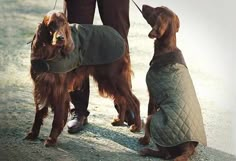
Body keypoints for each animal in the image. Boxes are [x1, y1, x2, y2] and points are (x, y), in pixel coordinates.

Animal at [24, 9, 141, 146]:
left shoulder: (59, 90)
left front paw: (51, 139)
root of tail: (119, 36)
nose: (61, 38)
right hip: (107, 80)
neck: (49, 54)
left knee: (135, 101)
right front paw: (33, 134)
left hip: (116, 78)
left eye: (64, 23)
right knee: (122, 100)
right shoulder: (40, 86)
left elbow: (57, 119)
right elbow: (38, 114)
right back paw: (119, 120)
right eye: (51, 24)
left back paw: (137, 127)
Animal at [138, 5, 206, 161]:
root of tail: (188, 149)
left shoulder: (152, 97)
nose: (143, 5)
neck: (166, 49)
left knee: (166, 154)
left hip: (152, 120)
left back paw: (147, 150)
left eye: (156, 10)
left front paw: (144, 140)